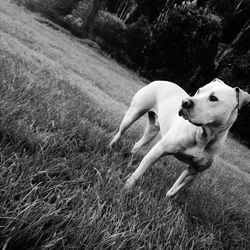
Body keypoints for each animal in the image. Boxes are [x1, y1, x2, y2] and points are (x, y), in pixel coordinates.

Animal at [109, 79, 250, 196]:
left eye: (213, 98)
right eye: (199, 90)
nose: (185, 102)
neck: (202, 136)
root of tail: (160, 81)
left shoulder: (193, 171)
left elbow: (175, 190)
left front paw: (167, 202)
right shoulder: (159, 150)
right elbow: (139, 172)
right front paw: (126, 187)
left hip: (151, 131)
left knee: (138, 144)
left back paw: (130, 160)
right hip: (133, 114)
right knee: (120, 132)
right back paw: (111, 146)